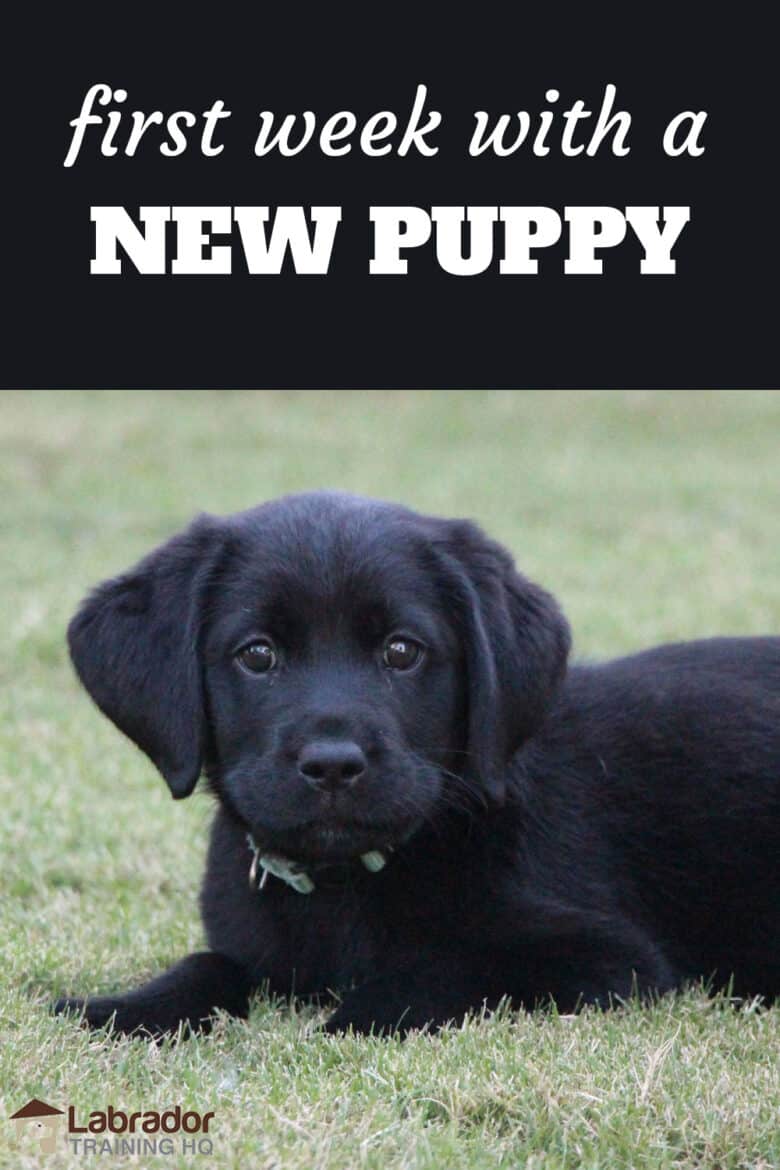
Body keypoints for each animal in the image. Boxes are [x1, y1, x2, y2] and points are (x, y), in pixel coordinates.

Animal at [53, 491, 780, 1034]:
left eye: (402, 651)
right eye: (256, 655)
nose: (333, 765)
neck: (345, 886)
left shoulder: (609, 955)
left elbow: (452, 969)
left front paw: (355, 1014)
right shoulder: (255, 948)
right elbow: (208, 964)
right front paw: (122, 1009)